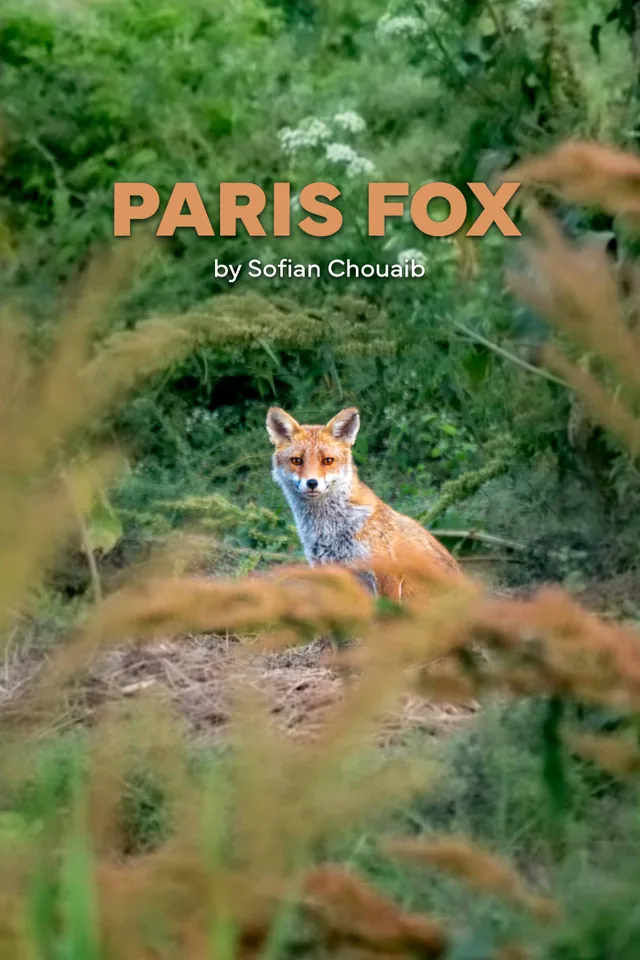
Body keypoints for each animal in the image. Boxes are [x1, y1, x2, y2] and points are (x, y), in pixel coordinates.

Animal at [266, 405, 460, 602]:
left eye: (328, 461)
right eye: (296, 461)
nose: (312, 483)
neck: (330, 530)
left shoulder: (386, 572)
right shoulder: (329, 572)